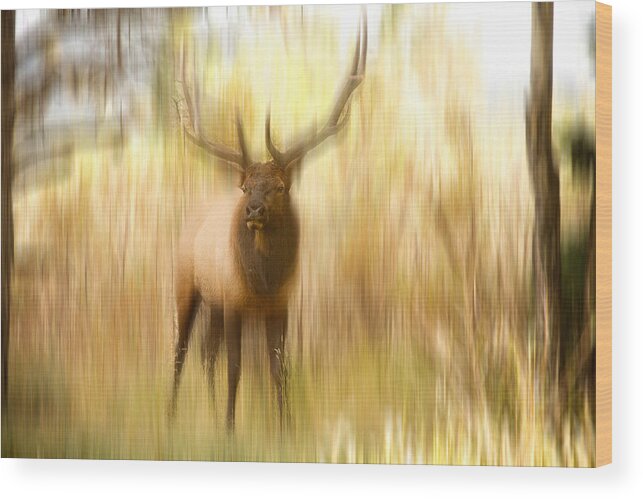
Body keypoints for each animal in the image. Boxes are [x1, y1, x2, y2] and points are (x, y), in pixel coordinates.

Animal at [171, 16, 368, 430]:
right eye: (246, 187)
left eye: (279, 186)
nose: (253, 211)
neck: (263, 283)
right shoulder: (233, 300)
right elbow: (235, 369)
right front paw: (230, 430)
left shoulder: (280, 304)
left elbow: (280, 369)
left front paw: (285, 429)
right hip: (185, 282)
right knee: (181, 351)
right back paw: (170, 416)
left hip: (213, 302)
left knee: (205, 354)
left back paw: (207, 411)